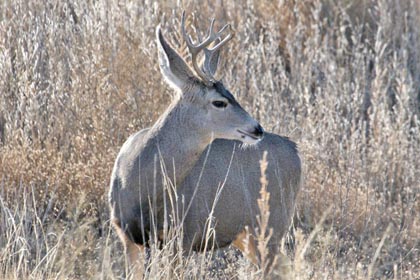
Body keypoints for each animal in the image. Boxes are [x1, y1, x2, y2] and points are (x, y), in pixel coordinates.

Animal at [110, 12, 300, 276]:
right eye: (219, 102)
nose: (257, 128)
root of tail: (295, 150)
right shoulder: (127, 235)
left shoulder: (184, 234)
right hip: (246, 235)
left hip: (272, 223)